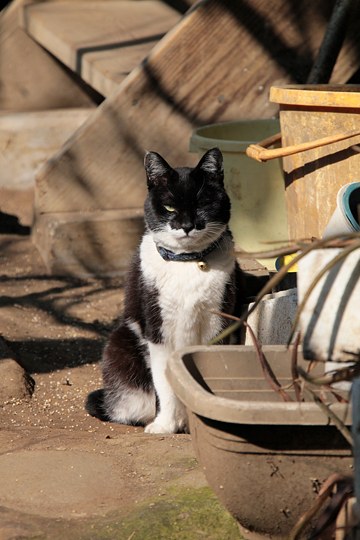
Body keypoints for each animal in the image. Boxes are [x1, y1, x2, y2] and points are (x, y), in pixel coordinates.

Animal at [84, 148, 243, 434]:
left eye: (202, 204)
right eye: (169, 207)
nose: (187, 225)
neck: (187, 262)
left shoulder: (218, 321)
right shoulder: (157, 328)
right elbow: (164, 382)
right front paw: (165, 425)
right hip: (120, 344)